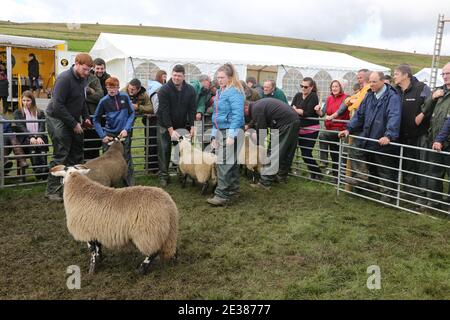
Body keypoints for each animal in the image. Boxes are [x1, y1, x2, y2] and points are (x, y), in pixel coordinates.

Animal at [49, 165, 179, 276]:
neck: (78, 189)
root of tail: (169, 205)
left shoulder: (87, 231)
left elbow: (92, 251)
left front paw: (91, 270)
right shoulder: (96, 230)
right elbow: (98, 248)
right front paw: (100, 260)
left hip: (148, 232)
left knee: (153, 252)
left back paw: (141, 269)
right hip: (168, 232)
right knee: (172, 248)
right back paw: (174, 263)